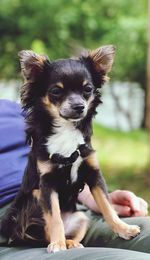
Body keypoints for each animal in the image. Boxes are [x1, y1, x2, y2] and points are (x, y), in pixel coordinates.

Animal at [0, 45, 140, 253]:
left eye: (87, 89)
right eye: (56, 91)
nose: (79, 106)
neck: (65, 129)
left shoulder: (93, 173)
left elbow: (107, 206)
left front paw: (124, 228)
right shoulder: (46, 184)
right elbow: (54, 217)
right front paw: (57, 244)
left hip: (81, 217)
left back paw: (71, 242)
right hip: (34, 200)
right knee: (47, 232)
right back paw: (62, 242)